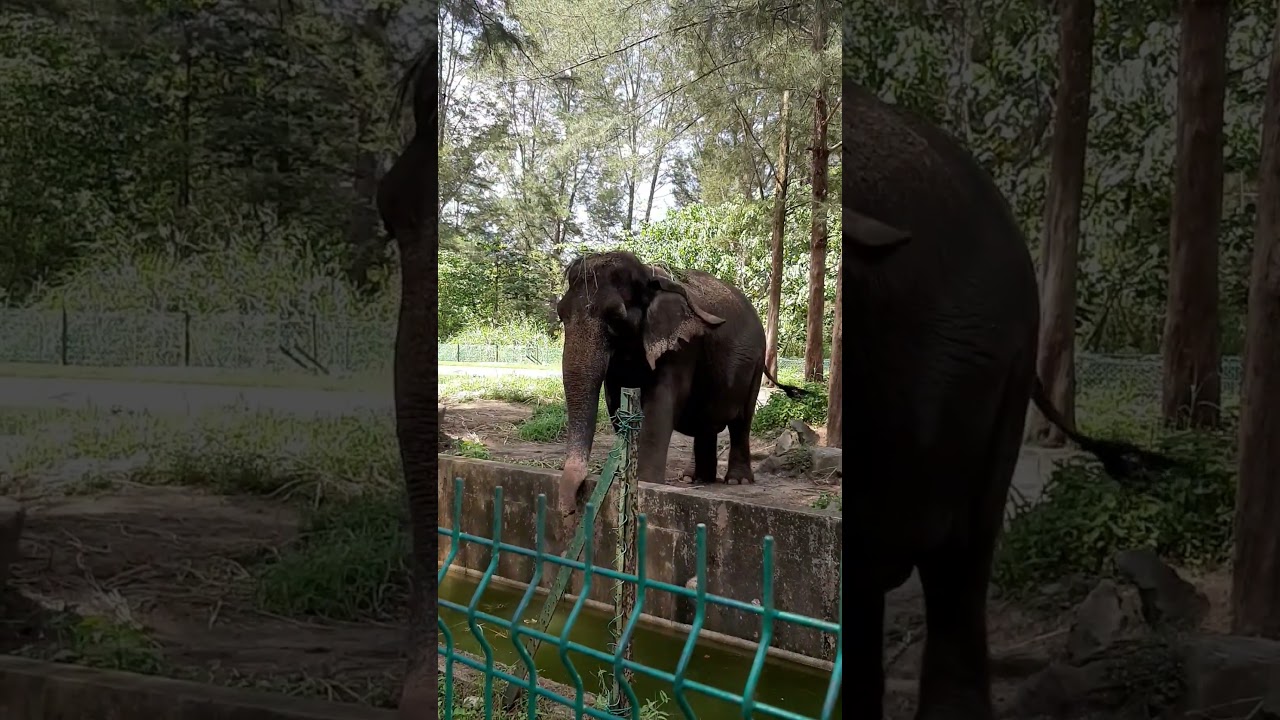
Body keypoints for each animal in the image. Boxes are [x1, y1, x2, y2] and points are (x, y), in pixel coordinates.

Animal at [555, 250, 806, 516]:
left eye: (616, 317)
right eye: (561, 314)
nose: (568, 511)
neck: (649, 275)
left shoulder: (682, 348)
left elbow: (660, 405)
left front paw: (646, 482)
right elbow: (616, 404)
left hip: (756, 364)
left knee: (742, 421)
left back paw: (736, 481)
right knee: (707, 424)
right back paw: (695, 479)